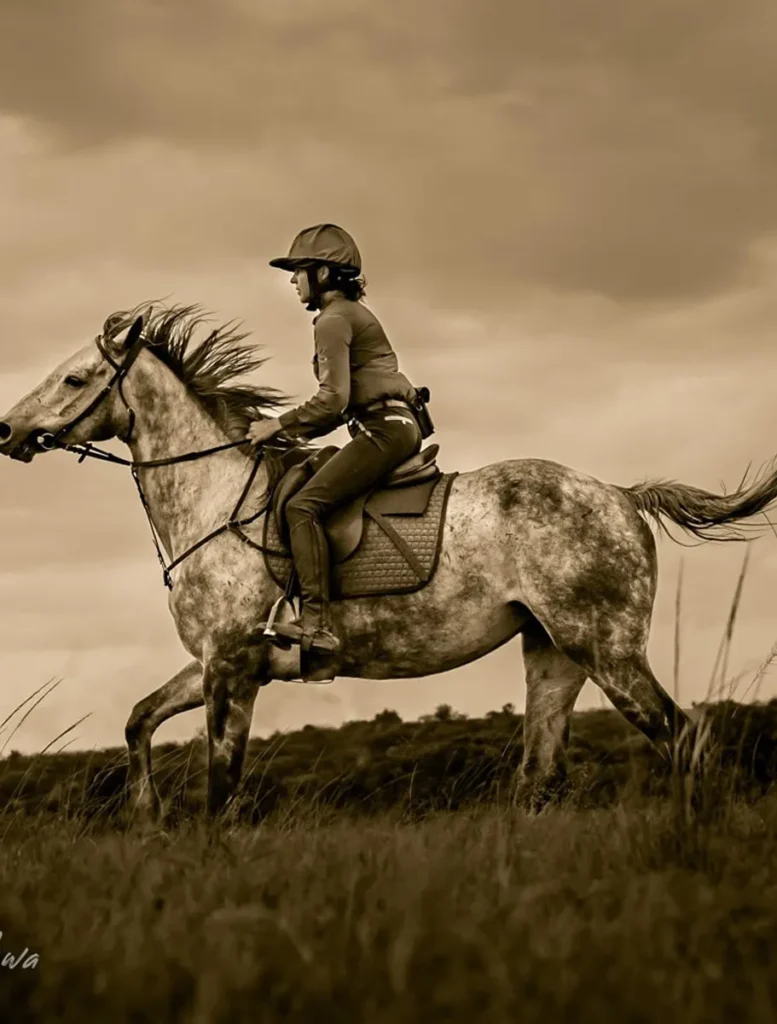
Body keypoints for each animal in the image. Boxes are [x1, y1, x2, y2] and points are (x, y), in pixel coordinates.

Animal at [0, 302, 774, 823]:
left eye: (73, 379)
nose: (7, 430)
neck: (213, 499)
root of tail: (619, 493)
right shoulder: (215, 661)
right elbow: (138, 719)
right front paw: (146, 815)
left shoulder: (232, 667)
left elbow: (221, 785)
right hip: (554, 653)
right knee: (544, 773)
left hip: (606, 649)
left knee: (682, 737)